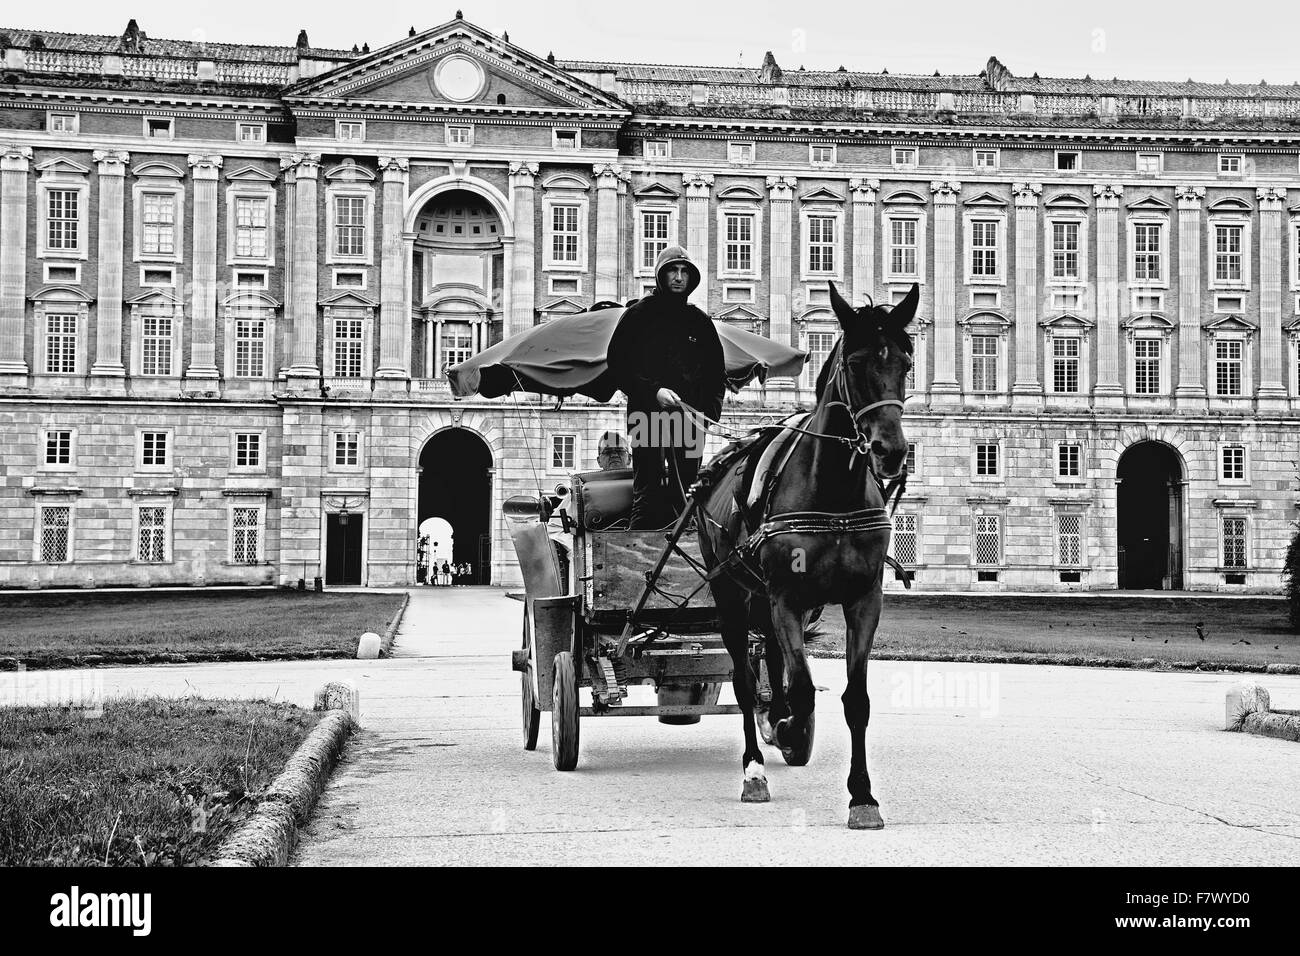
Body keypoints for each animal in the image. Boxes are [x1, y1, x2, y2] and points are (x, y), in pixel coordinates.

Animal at [696, 278, 920, 832]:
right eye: (855, 363)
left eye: (906, 362)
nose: (891, 453)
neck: (834, 491)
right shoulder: (785, 597)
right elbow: (798, 686)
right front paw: (788, 726)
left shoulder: (863, 600)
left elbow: (854, 699)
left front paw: (862, 796)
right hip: (732, 594)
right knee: (743, 676)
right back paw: (755, 766)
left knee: (771, 659)